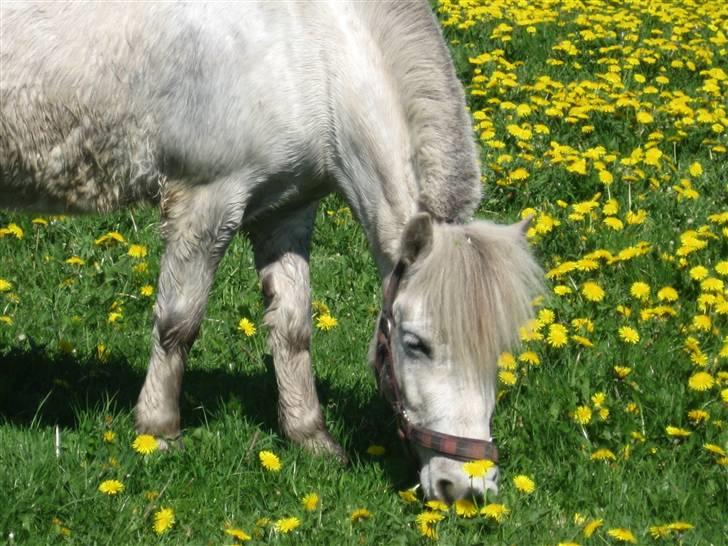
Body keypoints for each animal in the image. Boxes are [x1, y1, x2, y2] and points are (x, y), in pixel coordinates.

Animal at [0, 1, 540, 502]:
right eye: (415, 343)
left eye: (499, 349)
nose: (467, 487)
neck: (309, 49)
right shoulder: (207, 201)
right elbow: (179, 323)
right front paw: (158, 430)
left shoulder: (287, 212)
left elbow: (292, 329)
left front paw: (310, 436)